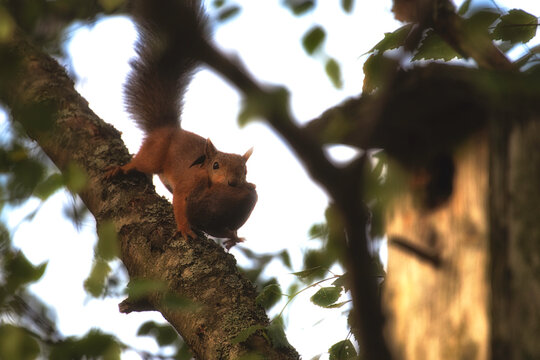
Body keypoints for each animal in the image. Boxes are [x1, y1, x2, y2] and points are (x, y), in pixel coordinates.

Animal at [106, 0, 258, 248]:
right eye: (215, 165)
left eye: (245, 170)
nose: (234, 183)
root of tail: (167, 128)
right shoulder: (188, 184)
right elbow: (178, 204)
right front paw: (186, 230)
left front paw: (234, 237)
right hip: (154, 153)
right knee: (140, 162)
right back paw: (121, 168)